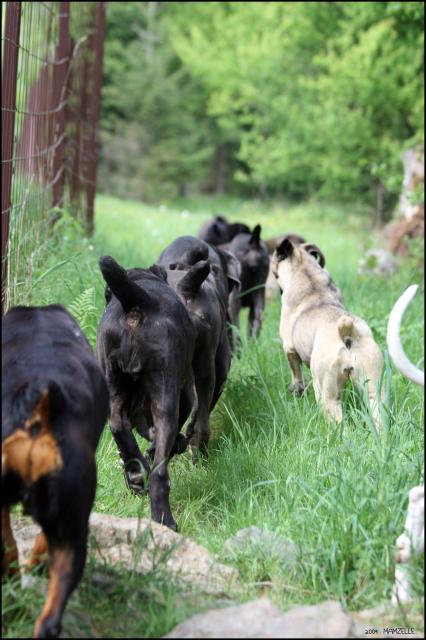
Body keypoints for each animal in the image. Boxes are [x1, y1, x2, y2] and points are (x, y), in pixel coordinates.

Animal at [95, 255, 197, 528]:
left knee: (118, 426)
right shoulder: (185, 395)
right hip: (166, 401)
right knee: (160, 472)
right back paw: (164, 519)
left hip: (114, 387)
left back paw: (136, 474)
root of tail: (137, 301)